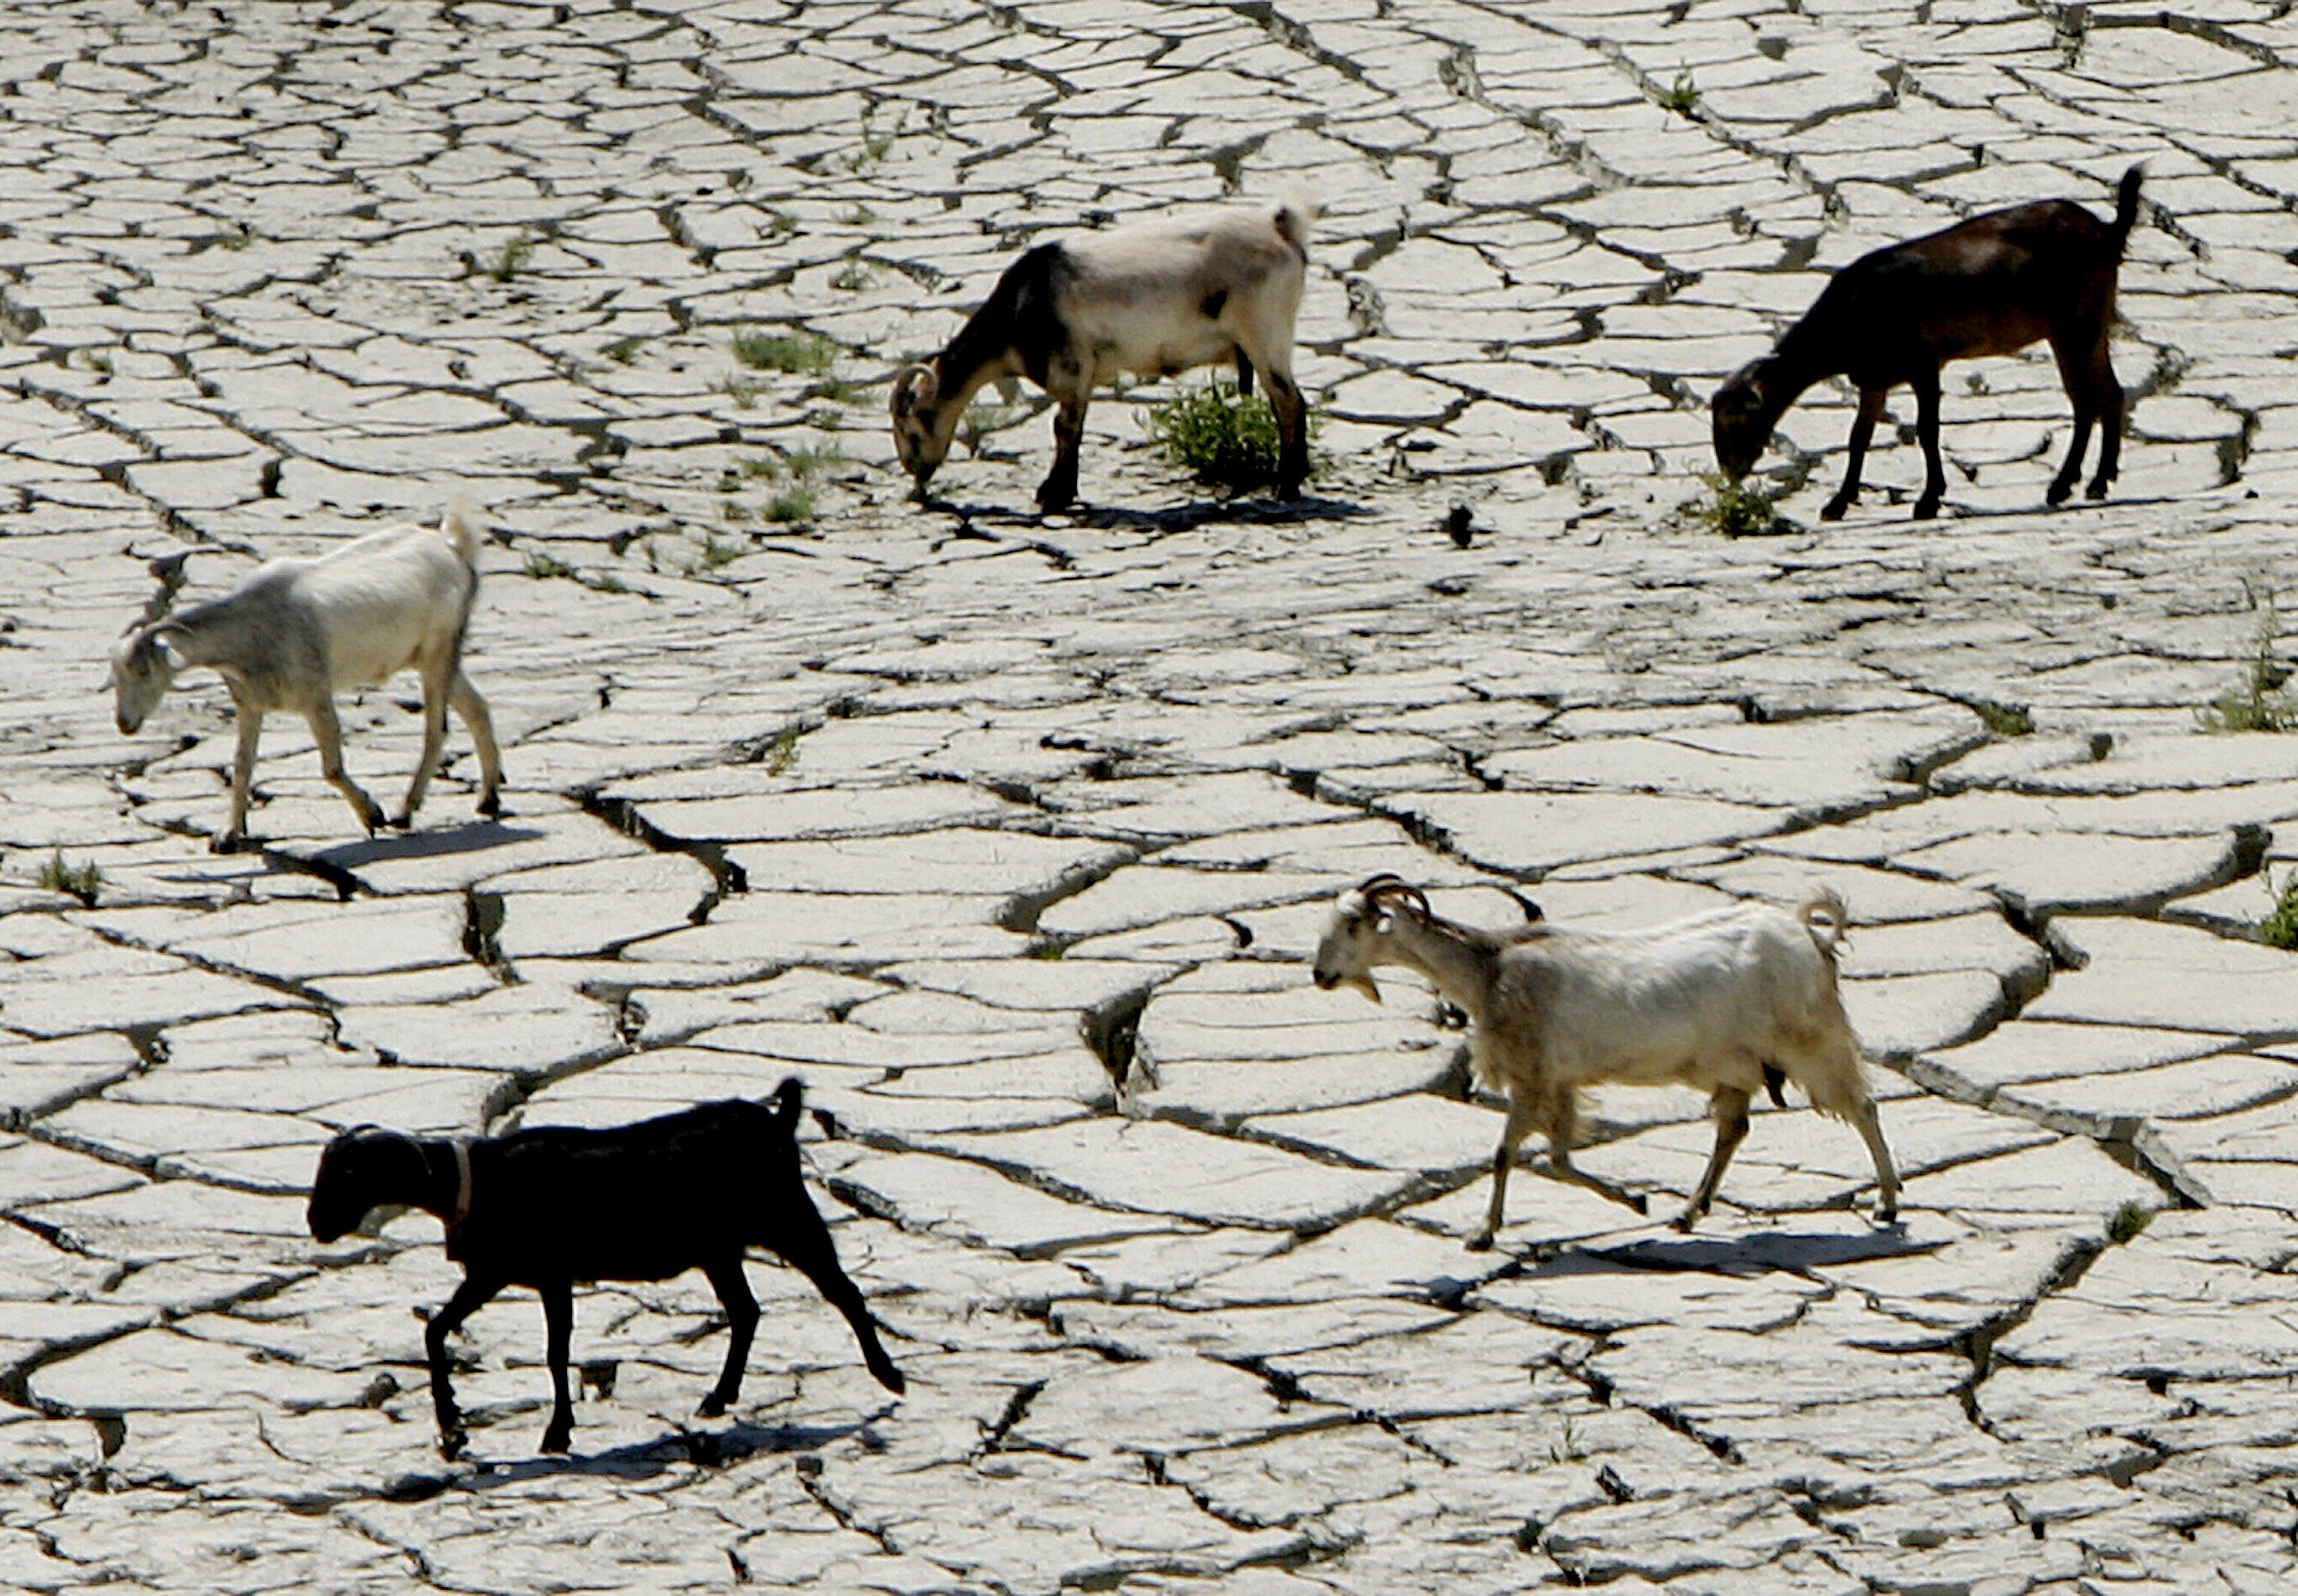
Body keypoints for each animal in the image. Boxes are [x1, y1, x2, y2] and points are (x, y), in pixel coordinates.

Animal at [108, 502, 503, 854]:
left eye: (144, 671)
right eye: (114, 675)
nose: (125, 724)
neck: (254, 624)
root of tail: (453, 546)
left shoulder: (316, 697)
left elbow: (331, 768)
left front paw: (372, 815)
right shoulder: (250, 703)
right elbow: (242, 764)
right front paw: (228, 835)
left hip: (439, 652)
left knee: (437, 729)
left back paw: (405, 812)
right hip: (431, 658)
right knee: (478, 708)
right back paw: (489, 799)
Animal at [310, 1088, 900, 1460]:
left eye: (348, 1172)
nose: (316, 1222)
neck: (476, 1178)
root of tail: (778, 1120)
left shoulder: (546, 1274)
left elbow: (555, 1352)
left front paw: (554, 1433)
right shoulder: (497, 1273)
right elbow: (436, 1329)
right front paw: (452, 1426)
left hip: (787, 1218)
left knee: (841, 1290)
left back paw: (889, 1375)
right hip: (719, 1248)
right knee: (746, 1311)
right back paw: (718, 1398)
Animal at [891, 198, 1314, 512]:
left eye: (911, 430)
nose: (916, 476)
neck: (1022, 307)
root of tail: (1281, 227)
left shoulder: (1072, 368)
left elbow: (1064, 428)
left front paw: (1054, 494)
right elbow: (1072, 427)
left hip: (1264, 332)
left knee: (1289, 401)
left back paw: (1285, 486)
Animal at [1314, 872, 1902, 1249]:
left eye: (1355, 926)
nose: (1320, 975)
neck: (1492, 972)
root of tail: (1810, 935)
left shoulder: (1532, 1076)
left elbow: (1506, 1155)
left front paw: (1483, 1232)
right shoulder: (1558, 1082)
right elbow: (1558, 1161)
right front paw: (1635, 1200)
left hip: (1811, 1039)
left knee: (1864, 1107)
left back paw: (1888, 1202)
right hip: (1736, 1061)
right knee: (1733, 1131)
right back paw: (1688, 1211)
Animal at [1718, 166, 2142, 523]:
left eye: (1737, 418)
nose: (1729, 472)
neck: (1850, 314)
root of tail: (2107, 230)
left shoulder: (1923, 363)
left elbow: (1927, 431)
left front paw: (1928, 500)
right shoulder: (1874, 377)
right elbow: (1858, 437)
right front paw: (1837, 503)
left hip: (2075, 326)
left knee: (2086, 400)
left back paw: (2063, 485)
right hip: (2090, 325)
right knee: (2108, 394)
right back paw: (2097, 481)